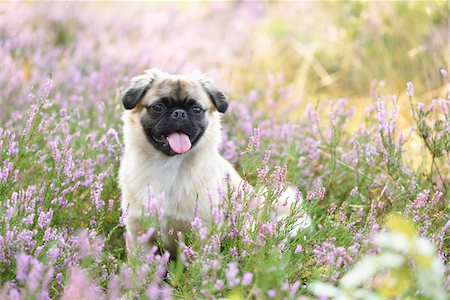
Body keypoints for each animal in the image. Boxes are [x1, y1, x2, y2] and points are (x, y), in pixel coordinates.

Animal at [119, 68, 310, 253]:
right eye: (158, 107)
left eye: (196, 109)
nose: (179, 113)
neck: (168, 164)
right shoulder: (138, 233)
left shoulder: (202, 232)